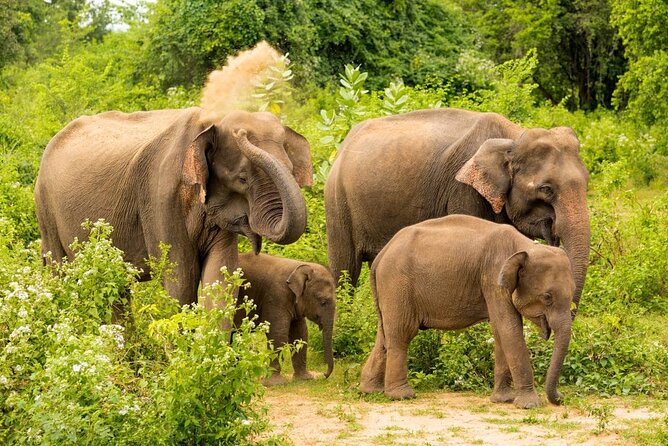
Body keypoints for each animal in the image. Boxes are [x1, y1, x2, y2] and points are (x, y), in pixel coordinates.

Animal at [34, 108, 310, 306]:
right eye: (242, 178)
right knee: (58, 271)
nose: (242, 134)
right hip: (45, 209)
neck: (209, 122)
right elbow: (180, 280)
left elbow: (220, 279)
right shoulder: (159, 197)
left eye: (290, 168)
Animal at [236, 253, 336, 386]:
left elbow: (300, 334)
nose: (324, 375)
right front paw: (275, 383)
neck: (298, 267)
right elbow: (278, 333)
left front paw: (305, 378)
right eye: (323, 301)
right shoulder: (276, 296)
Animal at [324, 108, 588, 314]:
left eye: (587, 183)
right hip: (337, 202)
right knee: (346, 269)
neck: (513, 136)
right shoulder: (463, 190)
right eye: (546, 189)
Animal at [360, 215, 576, 408]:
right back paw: (402, 395)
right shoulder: (492, 277)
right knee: (401, 333)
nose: (561, 397)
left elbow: (500, 331)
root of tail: (381, 255)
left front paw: (503, 400)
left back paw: (370, 390)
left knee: (384, 335)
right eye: (547, 297)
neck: (526, 246)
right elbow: (509, 328)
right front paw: (529, 405)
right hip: (397, 284)